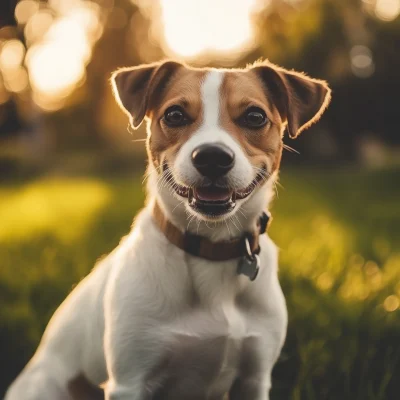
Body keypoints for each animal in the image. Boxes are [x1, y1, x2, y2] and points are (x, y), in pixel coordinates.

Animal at [5, 60, 332, 400]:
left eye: (255, 117)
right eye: (175, 115)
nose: (212, 157)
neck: (210, 249)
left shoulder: (254, 378)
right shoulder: (129, 381)